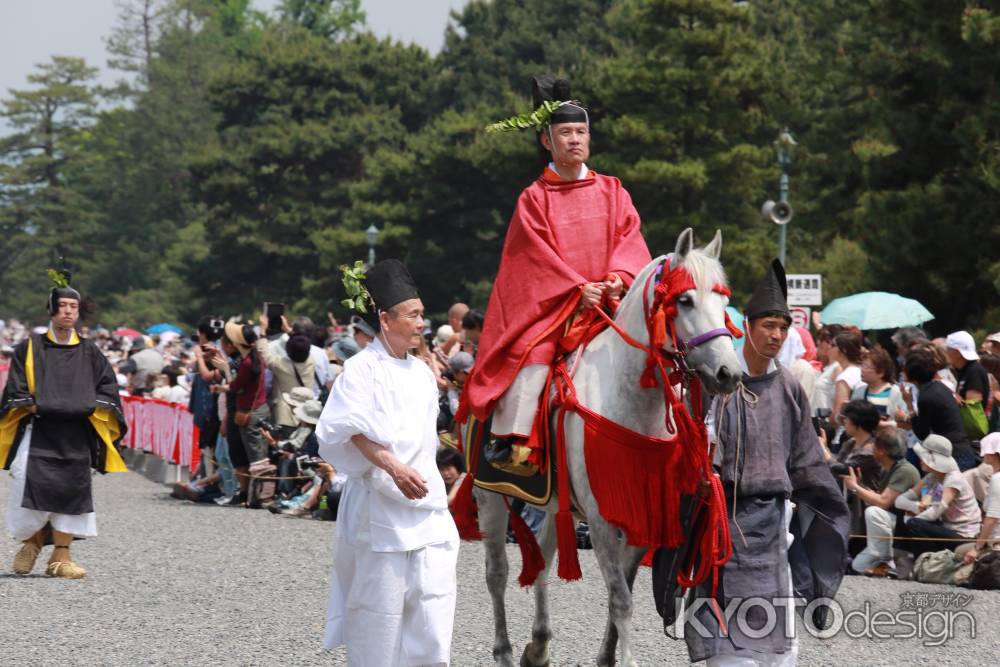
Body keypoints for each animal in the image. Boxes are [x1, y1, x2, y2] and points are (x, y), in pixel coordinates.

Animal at [476, 230, 744, 667]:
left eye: (724, 303)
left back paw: (538, 645)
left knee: (544, 560)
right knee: (496, 573)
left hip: (558, 504)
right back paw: (504, 650)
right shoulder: (602, 521)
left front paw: (606, 657)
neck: (632, 405)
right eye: (685, 300)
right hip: (489, 494)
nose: (729, 373)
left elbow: (624, 593)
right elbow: (621, 601)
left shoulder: (642, 517)